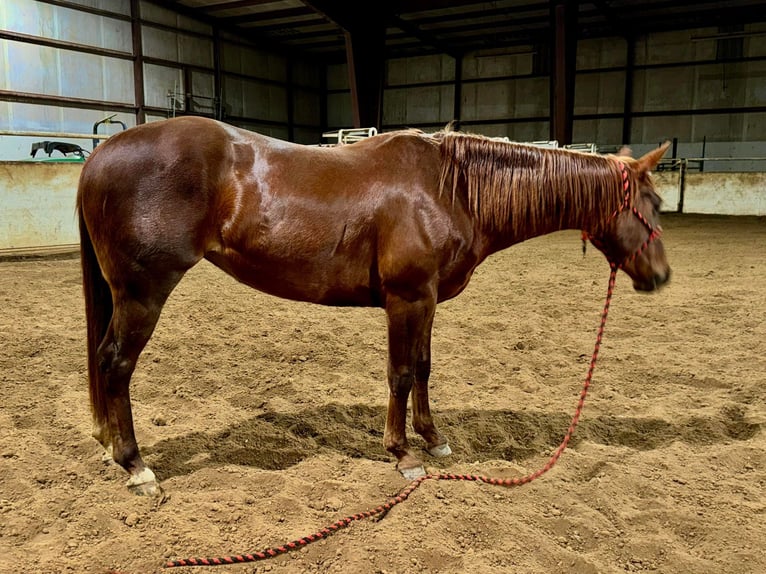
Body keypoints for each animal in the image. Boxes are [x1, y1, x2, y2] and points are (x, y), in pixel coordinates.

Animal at [75, 117, 668, 496]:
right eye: (653, 203)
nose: (660, 277)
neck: (450, 189)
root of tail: (102, 152)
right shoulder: (406, 299)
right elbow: (401, 373)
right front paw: (402, 455)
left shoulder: (427, 300)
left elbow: (423, 368)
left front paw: (434, 441)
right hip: (143, 293)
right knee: (114, 365)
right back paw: (135, 465)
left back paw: (108, 445)